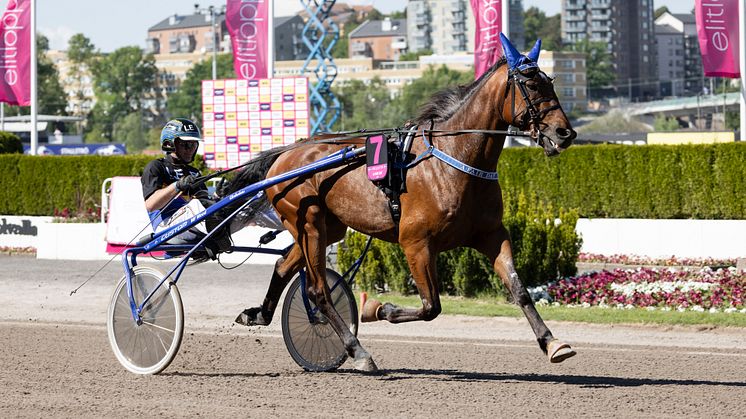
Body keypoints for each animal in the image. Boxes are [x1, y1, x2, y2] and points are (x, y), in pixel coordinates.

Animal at [227, 35, 576, 370]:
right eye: (531, 85)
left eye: (550, 82)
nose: (565, 133)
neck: (455, 159)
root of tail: (285, 153)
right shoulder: (415, 243)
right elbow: (431, 306)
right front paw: (376, 308)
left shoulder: (491, 235)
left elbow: (519, 289)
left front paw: (552, 343)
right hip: (307, 221)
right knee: (317, 291)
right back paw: (358, 351)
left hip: (327, 227)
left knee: (283, 266)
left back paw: (258, 313)